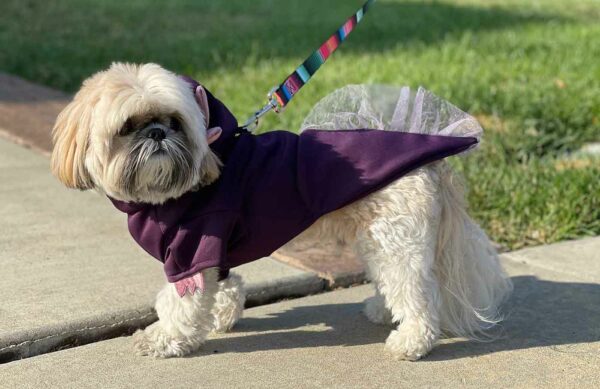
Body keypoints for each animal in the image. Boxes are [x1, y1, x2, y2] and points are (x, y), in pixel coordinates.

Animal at [50, 62, 510, 360]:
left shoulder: (191, 252)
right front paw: (222, 317)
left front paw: (165, 338)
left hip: (397, 238)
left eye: (174, 121)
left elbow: (181, 303)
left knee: (417, 293)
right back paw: (383, 312)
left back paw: (411, 342)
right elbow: (226, 285)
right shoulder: (214, 251)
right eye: (128, 127)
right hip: (380, 239)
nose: (158, 133)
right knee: (393, 281)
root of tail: (432, 160)